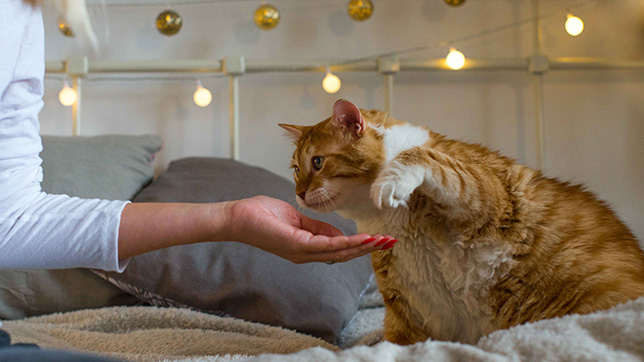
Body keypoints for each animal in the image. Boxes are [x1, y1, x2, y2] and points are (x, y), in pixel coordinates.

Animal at [280, 99, 644, 346]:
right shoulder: (409, 305)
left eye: (318, 162)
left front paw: (392, 181)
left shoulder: (491, 193)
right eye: (296, 169)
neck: (386, 219)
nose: (298, 193)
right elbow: (392, 345)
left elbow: (419, 158)